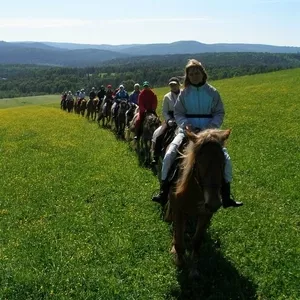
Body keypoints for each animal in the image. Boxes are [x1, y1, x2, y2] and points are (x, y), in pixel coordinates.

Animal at [168, 127, 231, 274]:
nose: (214, 203)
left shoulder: (206, 213)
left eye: (223, 162)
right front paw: (179, 261)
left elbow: (196, 241)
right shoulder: (178, 210)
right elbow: (179, 241)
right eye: (200, 162)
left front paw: (193, 268)